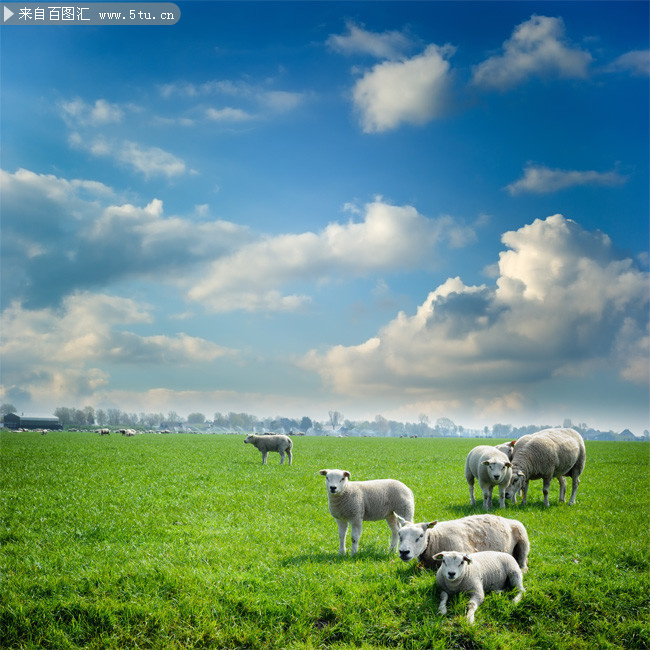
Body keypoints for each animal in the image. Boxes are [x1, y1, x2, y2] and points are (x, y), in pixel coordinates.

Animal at [394, 512, 528, 572]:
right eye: (399, 534)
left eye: (421, 536)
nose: (404, 552)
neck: (435, 539)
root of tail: (504, 518)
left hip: (523, 539)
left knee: (523, 562)